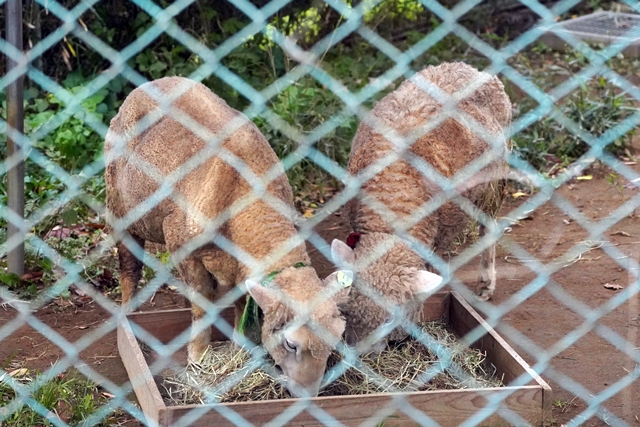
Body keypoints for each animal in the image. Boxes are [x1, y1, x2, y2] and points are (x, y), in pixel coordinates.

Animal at [104, 76, 350, 398]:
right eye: (290, 343)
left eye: (335, 341)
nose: (307, 395)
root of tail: (148, 84)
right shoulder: (182, 248)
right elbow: (201, 305)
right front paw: (198, 357)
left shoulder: (240, 267)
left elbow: (241, 305)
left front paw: (238, 348)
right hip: (119, 211)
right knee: (129, 269)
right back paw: (129, 313)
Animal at [328, 61, 512, 354]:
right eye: (348, 310)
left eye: (389, 319)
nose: (363, 355)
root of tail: (467, 67)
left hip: (492, 183)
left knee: (489, 228)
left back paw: (486, 282)